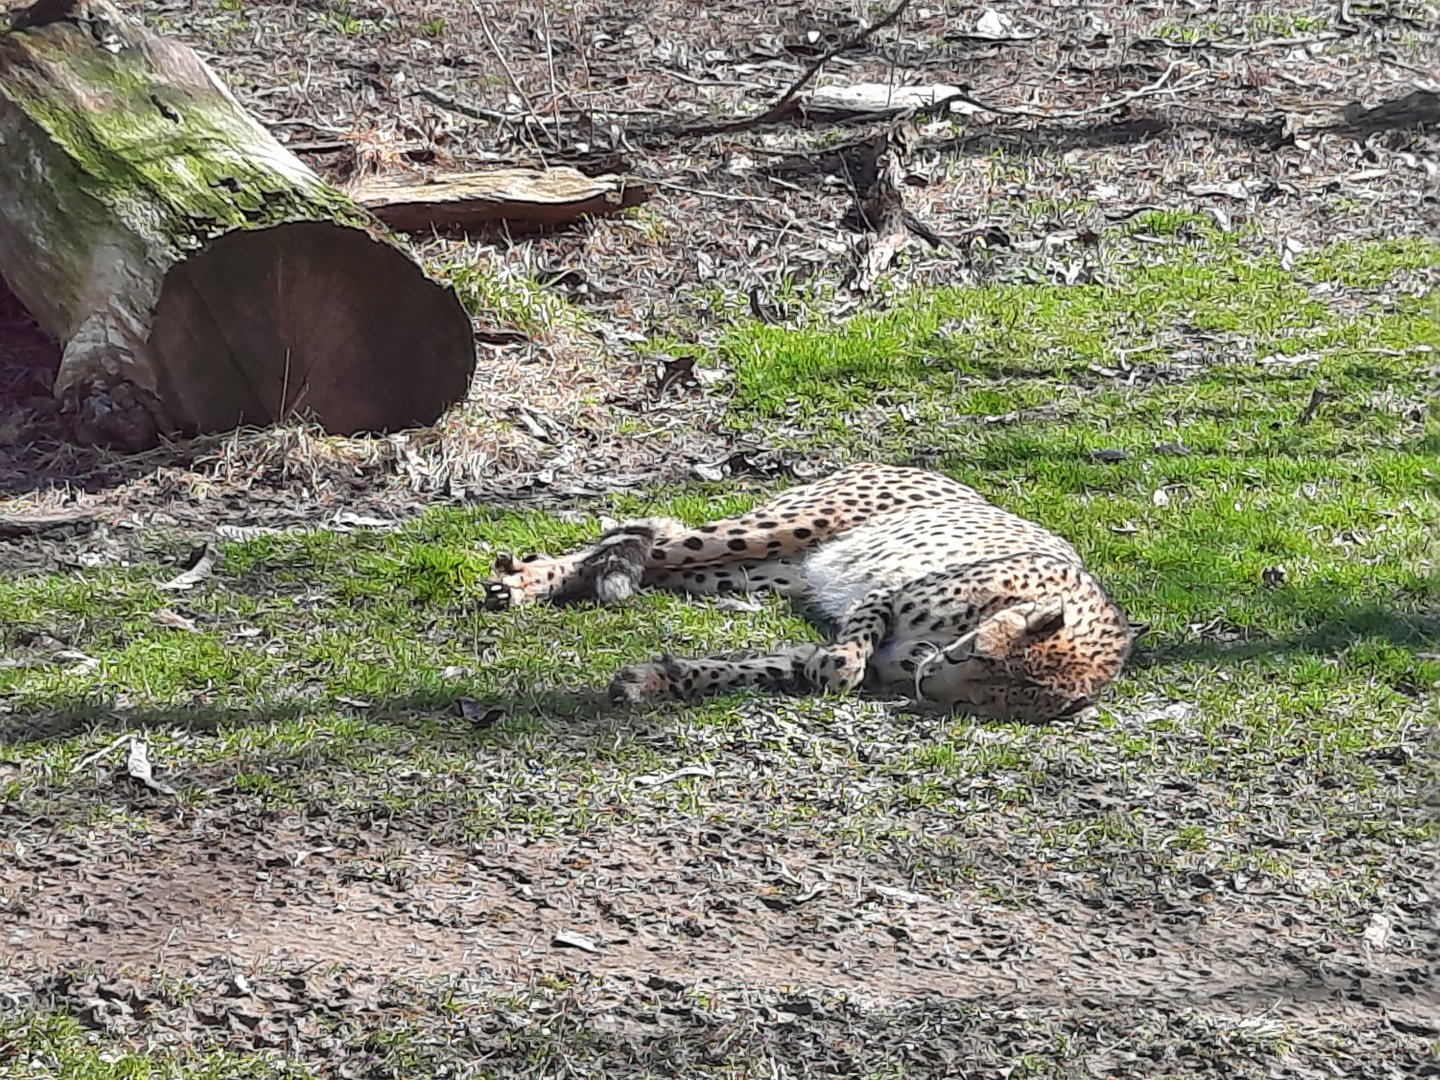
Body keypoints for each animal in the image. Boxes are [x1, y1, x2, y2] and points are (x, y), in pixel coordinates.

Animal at [480, 463, 1144, 722]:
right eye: (977, 654)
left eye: (978, 704)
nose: (928, 681)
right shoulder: (881, 599)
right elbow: (847, 657)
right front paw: (839, 664)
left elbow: (755, 668)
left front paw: (654, 680)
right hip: (782, 528)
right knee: (639, 539)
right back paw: (522, 580)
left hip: (756, 571)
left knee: (646, 557)